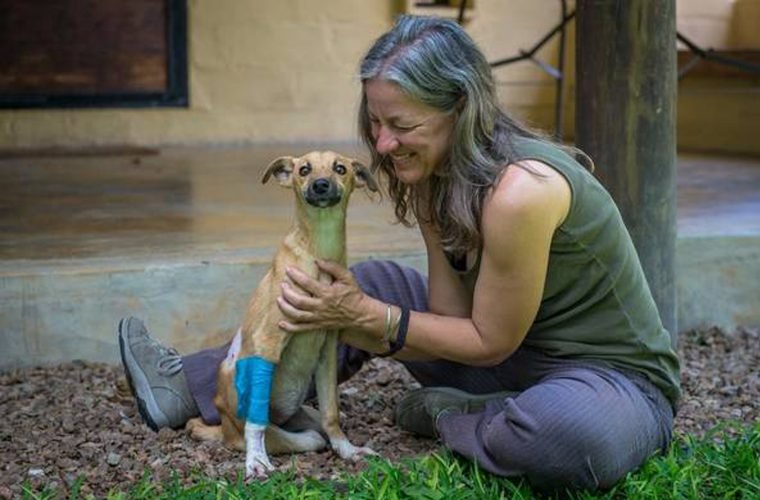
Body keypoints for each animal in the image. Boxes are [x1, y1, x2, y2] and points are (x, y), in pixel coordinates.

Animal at [187, 150, 380, 478]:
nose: (320, 185)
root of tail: (223, 428)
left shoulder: (327, 351)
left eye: (340, 168)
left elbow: (332, 412)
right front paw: (256, 461)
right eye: (304, 170)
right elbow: (257, 423)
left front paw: (347, 449)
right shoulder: (268, 342)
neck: (318, 248)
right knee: (289, 435)